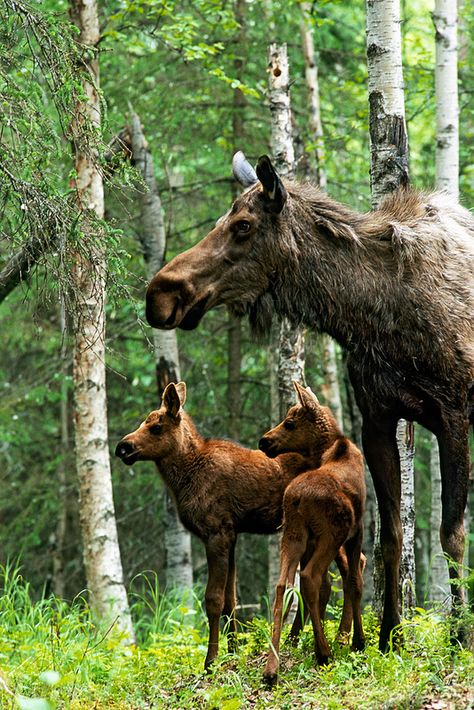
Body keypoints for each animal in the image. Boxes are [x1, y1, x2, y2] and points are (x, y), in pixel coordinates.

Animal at [116, 384, 312, 672]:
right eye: (144, 421)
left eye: (156, 427)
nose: (122, 447)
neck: (182, 481)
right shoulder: (232, 534)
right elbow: (231, 600)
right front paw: (233, 652)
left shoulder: (216, 532)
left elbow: (213, 600)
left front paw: (210, 661)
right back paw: (295, 640)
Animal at [147, 153, 474, 652]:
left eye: (243, 225)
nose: (158, 295)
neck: (375, 316)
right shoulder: (377, 418)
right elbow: (390, 536)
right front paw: (388, 635)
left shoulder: (453, 414)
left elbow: (451, 534)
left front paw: (460, 637)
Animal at [260, 384, 366, 688]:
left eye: (290, 422)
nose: (264, 441)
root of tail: (295, 500)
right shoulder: (358, 528)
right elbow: (353, 582)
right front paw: (358, 642)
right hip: (331, 533)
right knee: (310, 577)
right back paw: (324, 652)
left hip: (293, 535)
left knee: (282, 585)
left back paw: (272, 669)